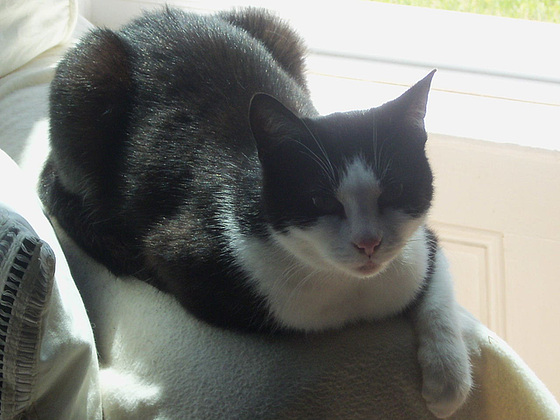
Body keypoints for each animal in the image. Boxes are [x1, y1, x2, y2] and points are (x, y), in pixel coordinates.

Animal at [40, 5, 472, 416]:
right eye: (320, 200)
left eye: (395, 191)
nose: (369, 242)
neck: (351, 293)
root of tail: (142, 23)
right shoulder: (183, 253)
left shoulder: (418, 247)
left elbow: (437, 284)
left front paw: (448, 380)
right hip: (87, 76)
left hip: (274, 27)